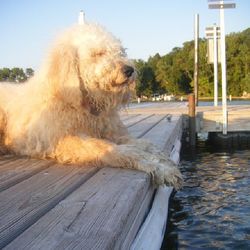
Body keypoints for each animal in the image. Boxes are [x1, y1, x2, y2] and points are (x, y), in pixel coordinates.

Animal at [0, 23, 181, 188]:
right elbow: (109, 148)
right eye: (98, 53)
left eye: (120, 51)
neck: (84, 104)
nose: (129, 70)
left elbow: (144, 144)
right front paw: (151, 163)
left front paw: (163, 163)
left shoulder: (110, 133)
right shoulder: (64, 141)